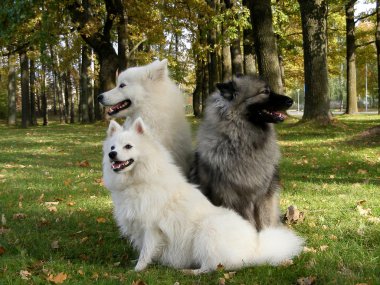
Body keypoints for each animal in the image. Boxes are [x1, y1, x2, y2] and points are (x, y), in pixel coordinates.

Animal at [102, 117, 304, 272]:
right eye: (112, 147)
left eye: (128, 146)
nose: (112, 154)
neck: (140, 180)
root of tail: (254, 250)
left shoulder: (152, 227)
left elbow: (145, 251)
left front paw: (137, 270)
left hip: (206, 232)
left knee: (213, 267)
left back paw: (191, 272)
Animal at [193, 74, 294, 230]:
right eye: (265, 92)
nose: (291, 100)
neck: (242, 142)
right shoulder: (228, 197)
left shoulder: (263, 196)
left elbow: (265, 222)